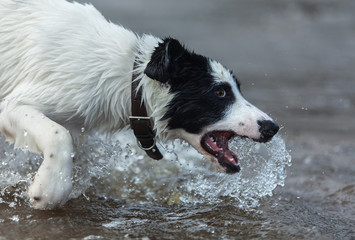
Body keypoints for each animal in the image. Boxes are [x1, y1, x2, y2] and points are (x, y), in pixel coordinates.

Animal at [0, 0, 280, 209]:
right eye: (220, 92)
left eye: (237, 89)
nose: (273, 127)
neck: (129, 77)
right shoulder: (13, 106)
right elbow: (58, 135)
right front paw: (49, 190)